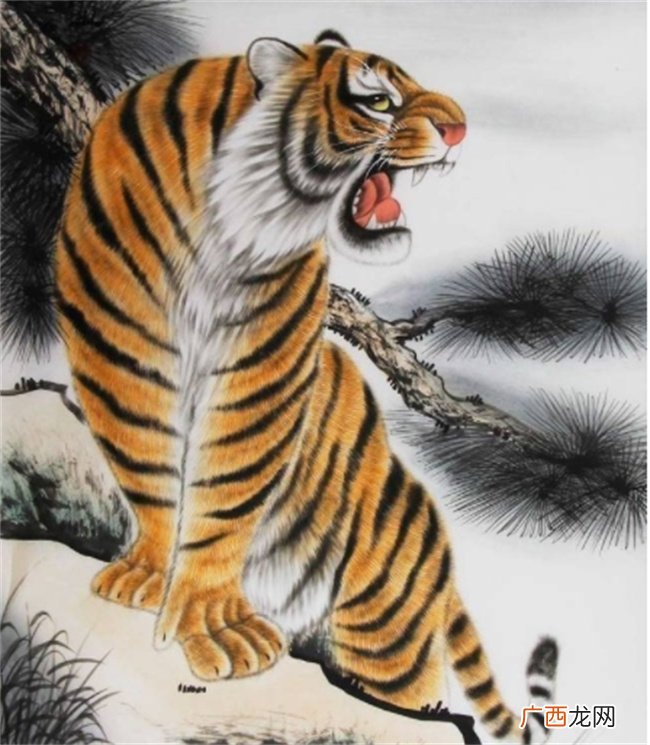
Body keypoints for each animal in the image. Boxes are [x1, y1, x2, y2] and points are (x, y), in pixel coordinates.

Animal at [55, 28, 557, 744]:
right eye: (379, 99)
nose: (460, 128)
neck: (222, 219)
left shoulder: (262, 362)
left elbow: (227, 488)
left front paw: (212, 619)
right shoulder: (120, 342)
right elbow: (146, 459)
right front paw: (151, 573)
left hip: (387, 640)